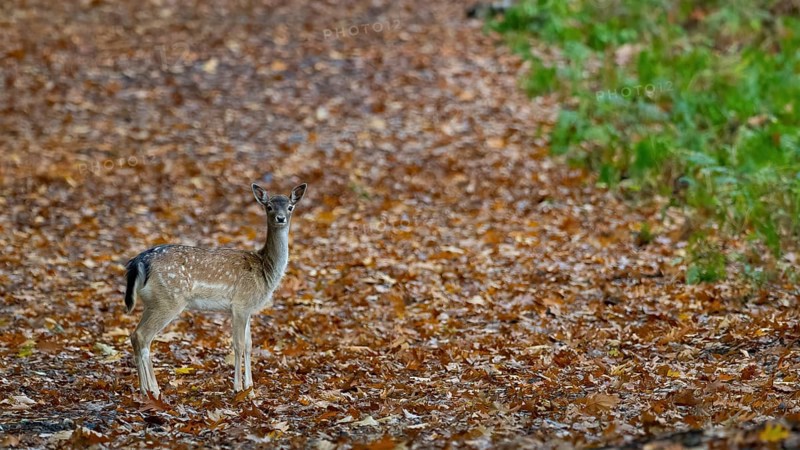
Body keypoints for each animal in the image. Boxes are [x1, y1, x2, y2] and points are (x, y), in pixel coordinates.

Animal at [123, 183, 307, 398]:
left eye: (290, 207)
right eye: (269, 206)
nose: (280, 218)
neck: (265, 271)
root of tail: (139, 261)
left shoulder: (247, 309)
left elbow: (249, 345)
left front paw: (251, 390)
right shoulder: (240, 304)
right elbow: (238, 344)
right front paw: (238, 388)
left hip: (151, 302)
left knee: (135, 335)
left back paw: (143, 390)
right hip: (168, 300)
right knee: (143, 336)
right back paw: (154, 389)